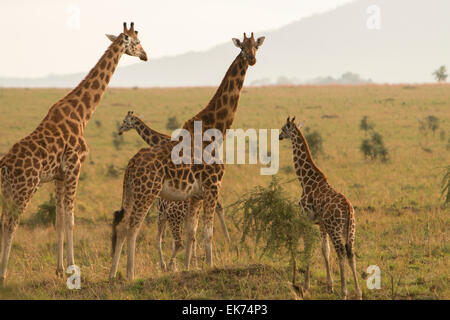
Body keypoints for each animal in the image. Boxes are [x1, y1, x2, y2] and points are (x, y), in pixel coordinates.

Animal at [0, 23, 149, 282]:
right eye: (137, 42)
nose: (145, 55)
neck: (82, 114)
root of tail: (4, 166)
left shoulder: (58, 176)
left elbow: (59, 221)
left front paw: (59, 269)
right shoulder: (74, 169)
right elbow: (70, 221)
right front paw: (72, 268)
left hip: (7, 191)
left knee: (1, 223)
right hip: (24, 189)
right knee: (11, 224)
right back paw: (3, 274)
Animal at [115, 111, 232, 272]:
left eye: (125, 121)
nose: (120, 130)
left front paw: (174, 265)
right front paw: (184, 264)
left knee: (216, 209)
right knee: (214, 211)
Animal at [278, 117, 362, 300]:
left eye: (283, 128)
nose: (279, 136)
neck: (305, 181)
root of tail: (348, 209)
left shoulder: (306, 219)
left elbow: (309, 248)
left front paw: (305, 286)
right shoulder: (321, 224)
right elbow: (325, 250)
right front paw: (329, 286)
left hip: (336, 228)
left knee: (341, 253)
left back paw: (344, 292)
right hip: (350, 229)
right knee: (351, 253)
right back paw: (358, 293)